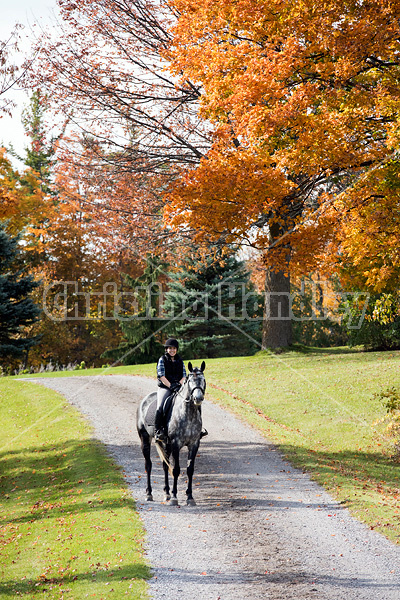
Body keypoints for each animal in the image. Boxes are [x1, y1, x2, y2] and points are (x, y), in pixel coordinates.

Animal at [137, 360, 206, 506]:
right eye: (190, 381)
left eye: (203, 380)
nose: (198, 398)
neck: (188, 414)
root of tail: (144, 400)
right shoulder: (175, 444)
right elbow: (176, 470)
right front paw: (175, 497)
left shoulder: (194, 444)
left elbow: (189, 470)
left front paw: (189, 497)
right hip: (145, 438)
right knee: (148, 465)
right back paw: (149, 493)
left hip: (165, 444)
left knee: (165, 465)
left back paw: (166, 493)